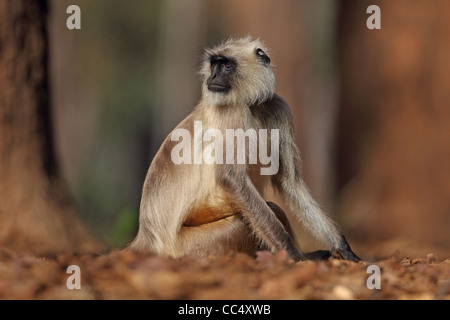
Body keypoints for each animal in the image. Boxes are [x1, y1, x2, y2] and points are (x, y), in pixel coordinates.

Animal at [128, 38, 360, 262]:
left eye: (226, 65)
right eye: (214, 64)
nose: (212, 76)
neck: (251, 105)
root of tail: (145, 238)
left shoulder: (279, 106)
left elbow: (289, 180)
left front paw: (342, 247)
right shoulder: (231, 111)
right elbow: (232, 178)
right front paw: (294, 256)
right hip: (191, 246)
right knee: (255, 215)